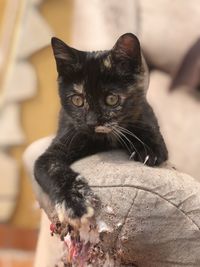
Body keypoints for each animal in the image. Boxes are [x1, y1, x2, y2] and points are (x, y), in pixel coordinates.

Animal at [33, 32, 168, 227]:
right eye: (77, 100)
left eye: (112, 99)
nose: (91, 122)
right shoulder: (57, 146)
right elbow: (53, 169)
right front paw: (75, 202)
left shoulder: (143, 108)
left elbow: (147, 124)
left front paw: (148, 148)